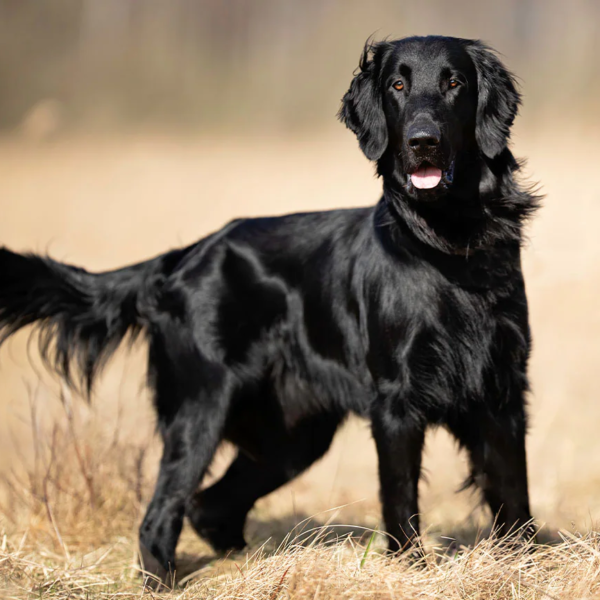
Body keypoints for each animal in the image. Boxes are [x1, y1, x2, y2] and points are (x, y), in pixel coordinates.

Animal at [0, 35, 540, 584]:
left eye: (455, 82)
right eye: (397, 85)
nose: (422, 141)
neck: (450, 246)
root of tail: (184, 256)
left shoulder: (502, 391)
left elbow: (513, 491)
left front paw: (524, 563)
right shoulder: (396, 403)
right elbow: (401, 499)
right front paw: (411, 570)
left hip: (292, 435)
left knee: (209, 505)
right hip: (201, 408)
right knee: (160, 516)